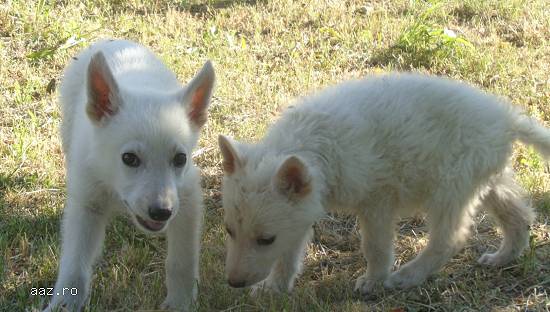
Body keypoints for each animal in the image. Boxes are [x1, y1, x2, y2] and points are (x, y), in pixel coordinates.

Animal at [42, 40, 216, 310]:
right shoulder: (86, 204)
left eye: (180, 159)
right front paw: (64, 303)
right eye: (129, 159)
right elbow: (74, 265)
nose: (161, 212)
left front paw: (180, 302)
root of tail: (110, 39)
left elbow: (181, 261)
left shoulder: (187, 200)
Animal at [219, 73, 544, 294]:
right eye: (229, 231)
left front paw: (373, 281)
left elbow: (375, 246)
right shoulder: (302, 209)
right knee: (519, 216)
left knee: (449, 239)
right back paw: (502, 257)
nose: (233, 283)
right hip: (485, 180)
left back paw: (408, 276)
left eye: (265, 240)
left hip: (450, 188)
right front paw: (274, 287)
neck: (318, 143)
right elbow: (288, 253)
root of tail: (507, 120)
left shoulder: (377, 199)